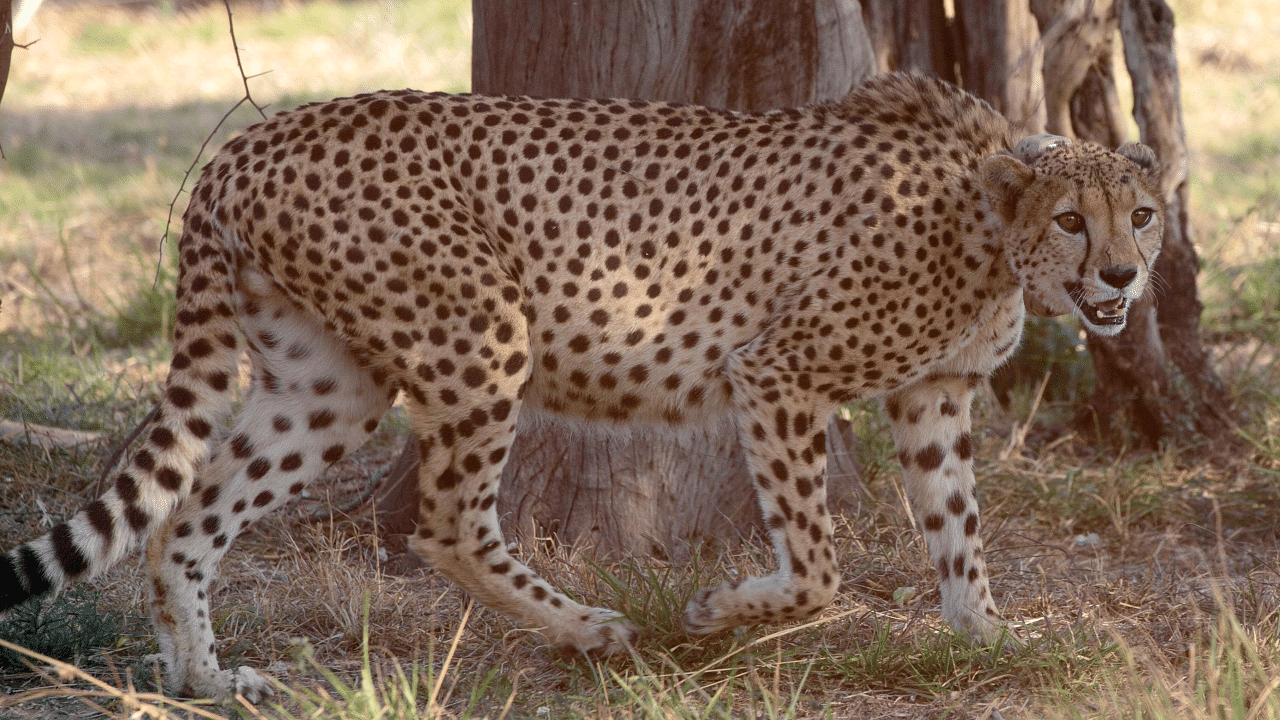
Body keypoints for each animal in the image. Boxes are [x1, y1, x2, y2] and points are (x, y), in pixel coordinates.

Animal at [0, 70, 1167, 696]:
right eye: (1074, 220)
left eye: (1141, 216)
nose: (1123, 276)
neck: (987, 223)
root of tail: (257, 135)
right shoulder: (776, 371)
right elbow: (820, 566)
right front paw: (719, 610)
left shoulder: (933, 396)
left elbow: (958, 531)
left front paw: (989, 637)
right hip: (482, 332)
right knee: (445, 522)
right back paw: (590, 630)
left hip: (329, 383)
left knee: (184, 517)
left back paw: (202, 680)